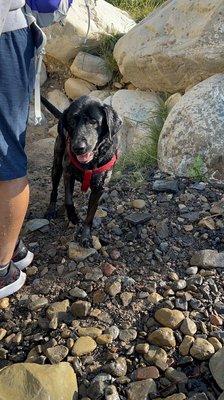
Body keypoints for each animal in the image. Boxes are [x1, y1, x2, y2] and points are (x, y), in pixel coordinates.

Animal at [42, 97, 122, 247]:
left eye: (93, 121)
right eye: (72, 122)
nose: (79, 147)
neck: (90, 163)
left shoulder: (99, 188)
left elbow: (90, 216)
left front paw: (85, 236)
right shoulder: (68, 174)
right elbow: (68, 200)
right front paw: (73, 216)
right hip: (57, 166)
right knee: (54, 190)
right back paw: (51, 210)